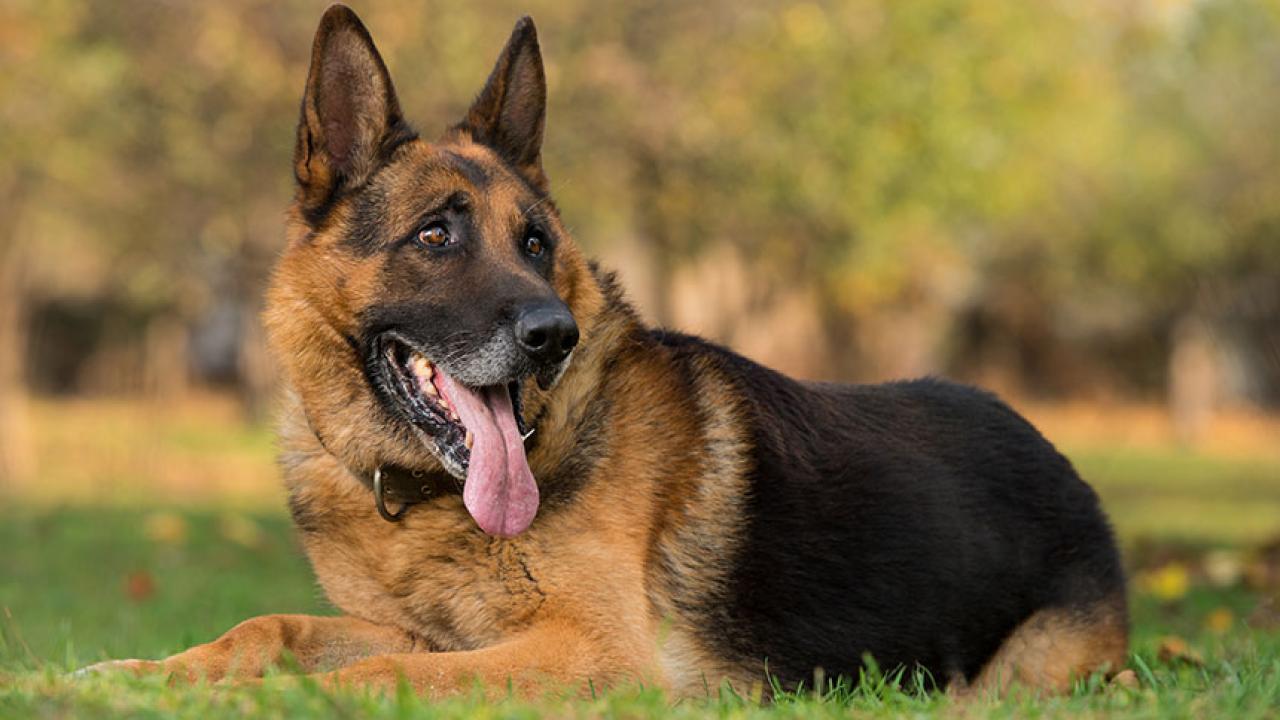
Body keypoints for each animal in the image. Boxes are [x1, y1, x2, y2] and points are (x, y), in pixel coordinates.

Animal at [85, 2, 1126, 691]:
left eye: (537, 243)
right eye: (435, 235)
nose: (554, 335)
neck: (425, 498)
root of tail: (1062, 466)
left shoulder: (587, 650)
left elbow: (364, 679)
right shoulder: (425, 632)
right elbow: (267, 629)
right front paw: (124, 674)